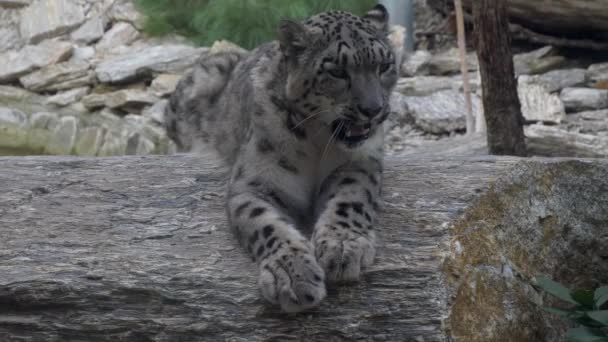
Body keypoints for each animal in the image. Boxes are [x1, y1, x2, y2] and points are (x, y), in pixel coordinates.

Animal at [164, 4, 400, 312]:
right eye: (337, 71)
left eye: (385, 66)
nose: (374, 109)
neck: (318, 142)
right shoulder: (253, 183)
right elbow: (265, 224)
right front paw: (292, 275)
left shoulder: (360, 163)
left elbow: (351, 201)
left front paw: (343, 247)